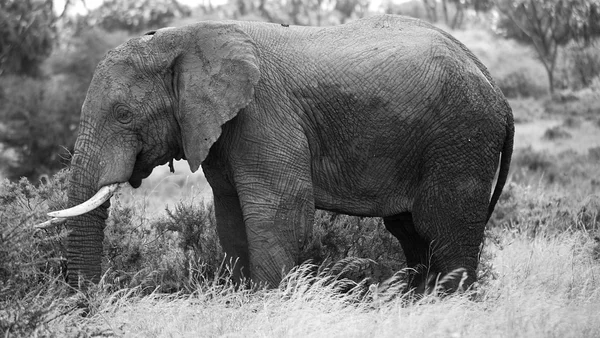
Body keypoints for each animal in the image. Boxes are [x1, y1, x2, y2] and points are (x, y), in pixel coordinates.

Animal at [49, 13, 512, 294]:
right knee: (412, 232)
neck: (185, 36)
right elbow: (231, 218)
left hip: (461, 137)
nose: (92, 298)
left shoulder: (263, 114)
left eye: (123, 115)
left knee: (444, 230)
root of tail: (496, 88)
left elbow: (280, 214)